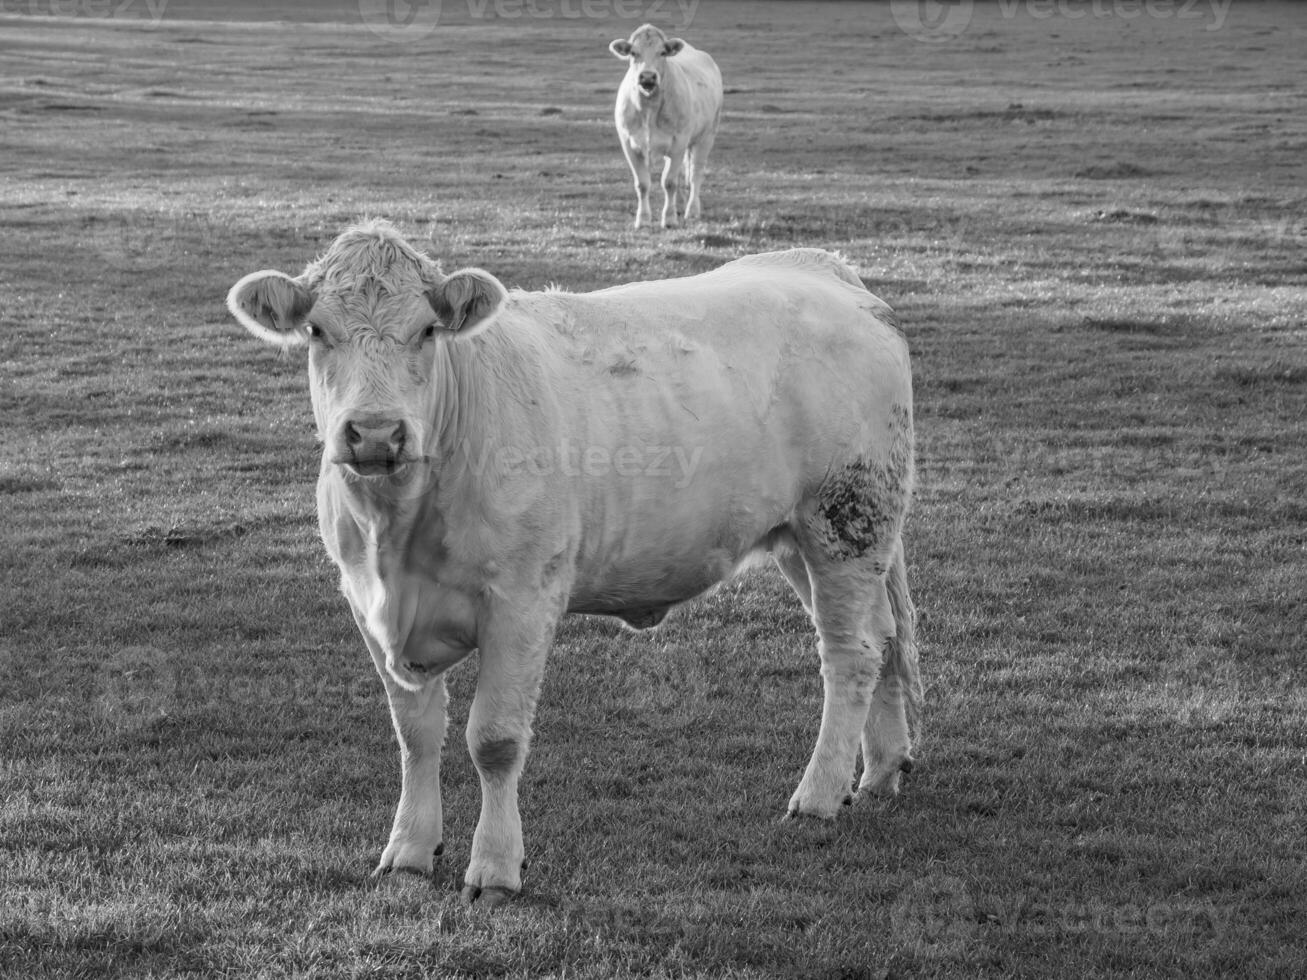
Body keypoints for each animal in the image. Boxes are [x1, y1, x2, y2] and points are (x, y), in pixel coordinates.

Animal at [227, 224, 920, 914]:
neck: (396, 541)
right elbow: (415, 734)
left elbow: (495, 739)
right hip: (807, 538)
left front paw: (496, 867)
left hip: (845, 521)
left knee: (850, 654)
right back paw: (881, 769)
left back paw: (819, 795)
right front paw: (408, 852)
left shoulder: (523, 599)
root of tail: (820, 268)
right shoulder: (365, 602)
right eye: (318, 331)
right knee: (884, 639)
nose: (374, 434)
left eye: (426, 330)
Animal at [611, 24, 726, 229]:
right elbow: (642, 184)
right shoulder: (629, 143)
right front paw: (643, 219)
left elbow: (669, 182)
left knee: (695, 173)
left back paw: (692, 210)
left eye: (662, 52)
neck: (649, 108)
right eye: (633, 52)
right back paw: (680, 205)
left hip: (707, 135)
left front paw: (670, 219)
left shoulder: (679, 142)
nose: (647, 77)